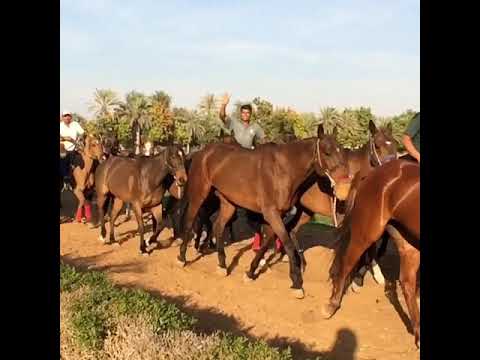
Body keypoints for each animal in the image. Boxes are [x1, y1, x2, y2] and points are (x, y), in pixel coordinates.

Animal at [178, 125, 350, 300]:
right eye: (327, 152)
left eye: (342, 150)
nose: (345, 185)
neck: (283, 169)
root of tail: (202, 152)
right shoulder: (271, 213)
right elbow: (287, 243)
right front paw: (296, 283)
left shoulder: (277, 215)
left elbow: (267, 241)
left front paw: (250, 272)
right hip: (199, 194)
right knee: (190, 221)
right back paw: (182, 257)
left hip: (228, 203)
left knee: (218, 226)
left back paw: (222, 265)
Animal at [322, 160, 420, 346]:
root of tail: (373, 171)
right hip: (366, 233)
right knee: (347, 263)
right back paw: (331, 305)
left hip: (408, 243)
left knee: (407, 283)